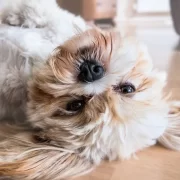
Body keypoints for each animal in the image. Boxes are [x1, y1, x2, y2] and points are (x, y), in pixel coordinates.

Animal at [0, 0, 180, 180]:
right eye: (128, 89)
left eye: (75, 105)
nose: (91, 72)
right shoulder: (61, 23)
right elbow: (41, 12)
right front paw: (21, 16)